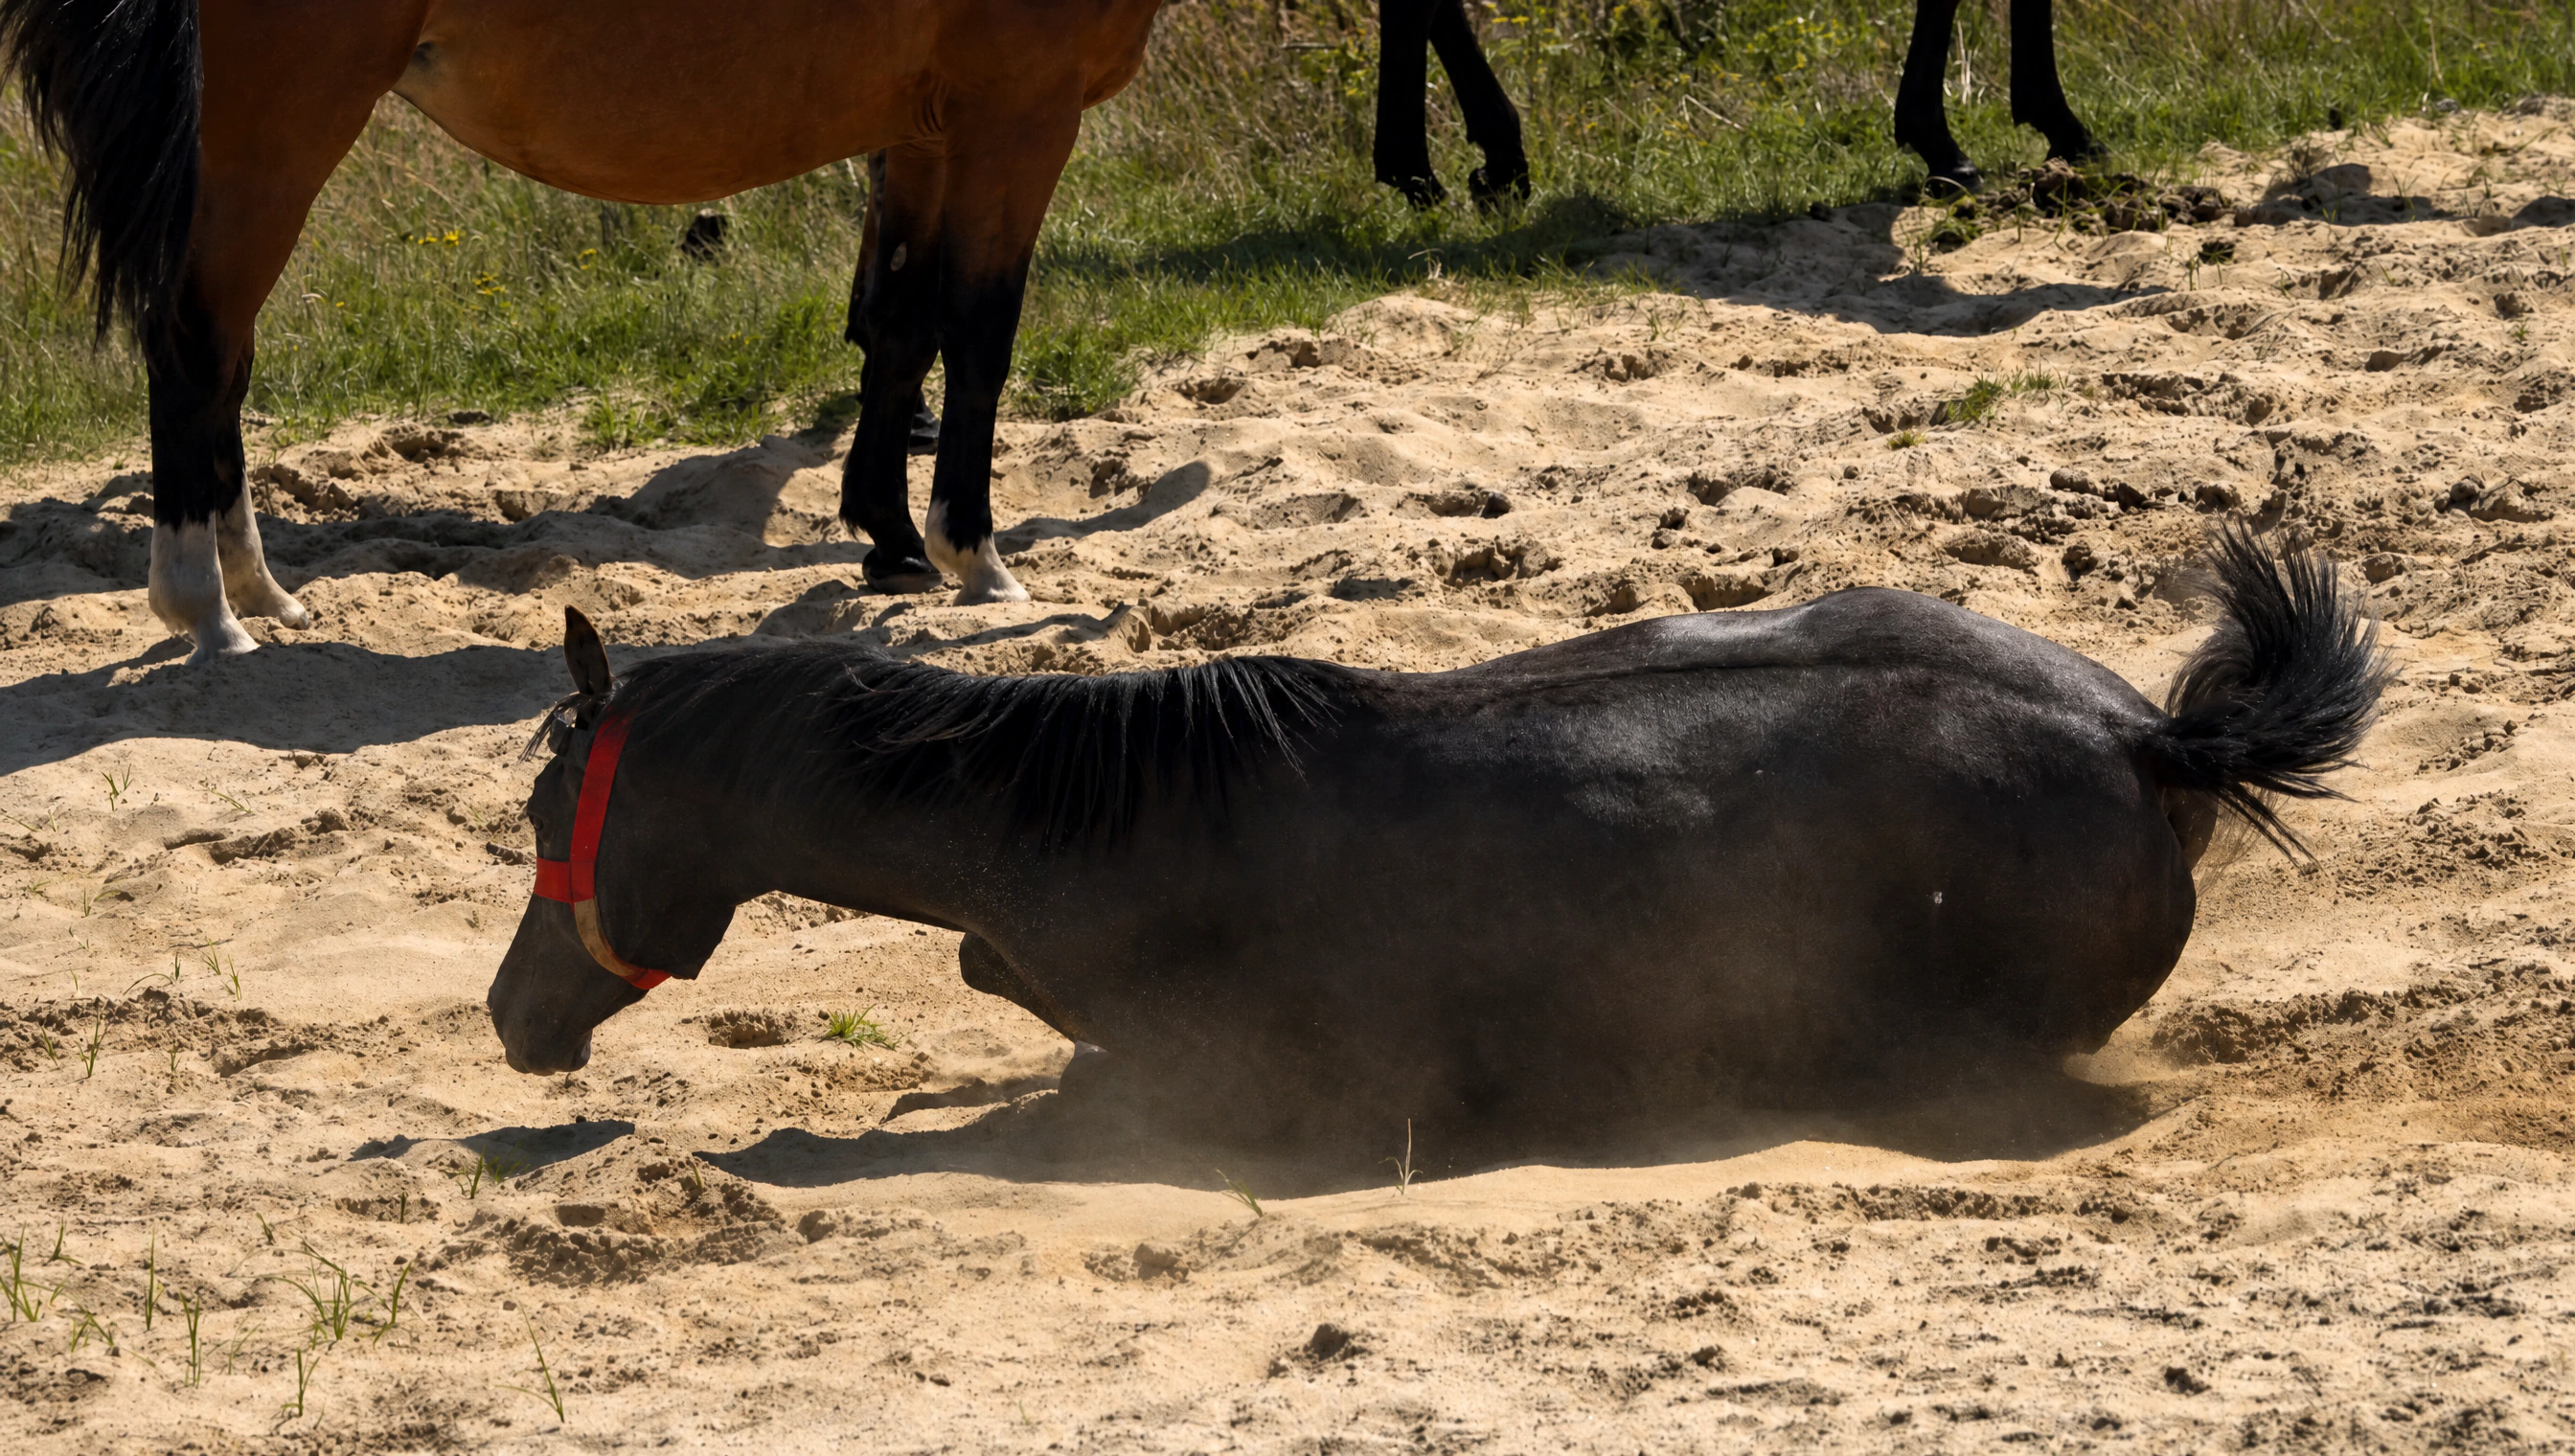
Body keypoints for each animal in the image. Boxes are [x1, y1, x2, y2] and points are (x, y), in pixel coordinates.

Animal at [0, 0, 1165, 664]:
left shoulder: (924, 129)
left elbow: (899, 326)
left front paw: (889, 536)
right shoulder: (1018, 117)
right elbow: (980, 335)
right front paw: (973, 553)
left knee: (225, 360)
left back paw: (261, 592)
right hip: (269, 134)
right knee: (195, 346)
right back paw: (206, 608)